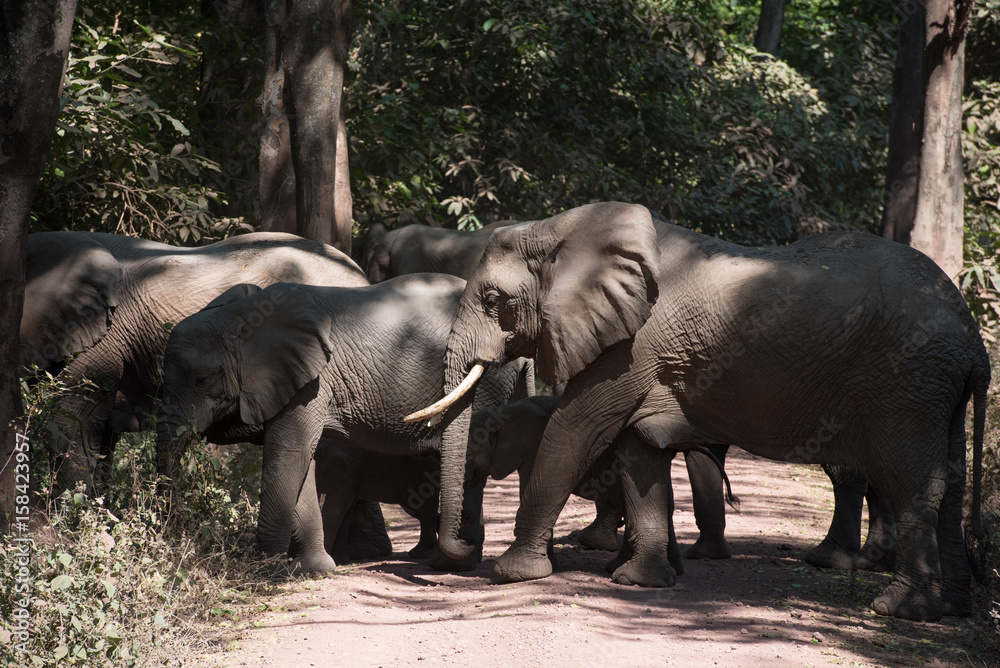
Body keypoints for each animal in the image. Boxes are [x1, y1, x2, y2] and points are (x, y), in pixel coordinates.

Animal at [156, 274, 532, 573]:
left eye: (201, 381)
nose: (169, 540)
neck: (241, 317)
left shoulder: (311, 382)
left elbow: (287, 455)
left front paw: (264, 573)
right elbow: (302, 459)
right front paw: (314, 570)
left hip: (488, 380)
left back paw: (449, 564)